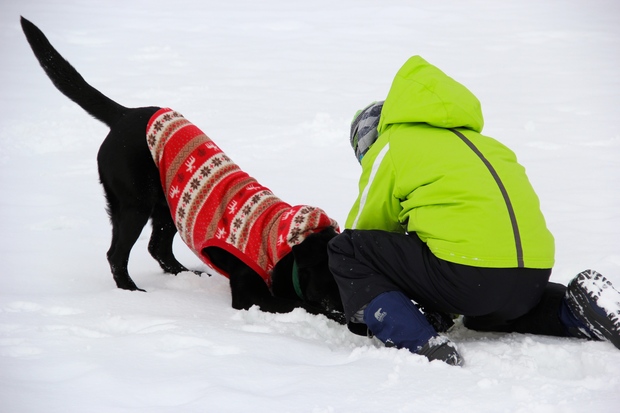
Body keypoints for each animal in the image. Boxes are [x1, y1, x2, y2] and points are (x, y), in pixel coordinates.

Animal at [20, 16, 344, 322]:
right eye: (338, 280)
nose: (352, 312)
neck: (282, 246)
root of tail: (123, 114)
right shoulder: (248, 293)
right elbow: (301, 305)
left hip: (168, 206)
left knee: (158, 248)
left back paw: (188, 274)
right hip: (134, 204)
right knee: (117, 253)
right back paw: (131, 290)